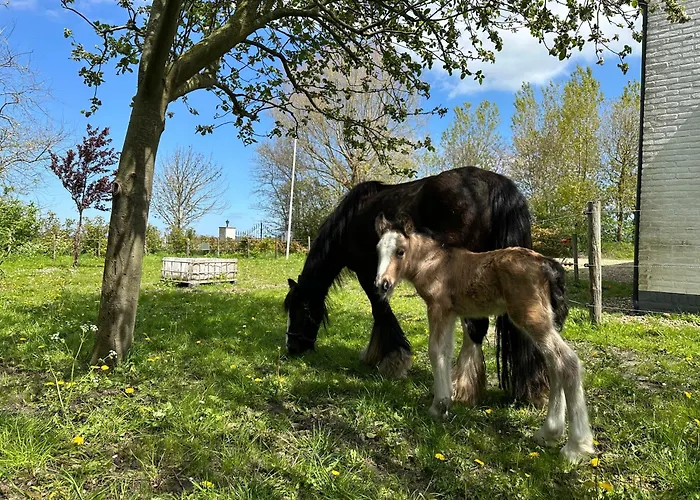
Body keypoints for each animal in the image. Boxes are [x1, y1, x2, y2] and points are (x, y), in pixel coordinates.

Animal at [284, 166, 549, 407]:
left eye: (300, 311)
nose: (292, 348)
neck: (351, 221)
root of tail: (494, 185)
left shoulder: (367, 273)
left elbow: (379, 310)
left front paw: (392, 360)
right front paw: (374, 354)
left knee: (477, 326)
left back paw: (462, 387)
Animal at [373, 213, 595, 463]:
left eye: (400, 251)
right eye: (378, 249)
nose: (382, 285)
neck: (437, 263)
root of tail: (547, 264)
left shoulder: (438, 308)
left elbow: (435, 351)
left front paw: (439, 406)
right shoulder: (451, 313)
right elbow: (445, 352)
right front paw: (446, 401)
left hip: (531, 318)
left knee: (567, 361)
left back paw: (576, 446)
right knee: (554, 363)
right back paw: (549, 432)